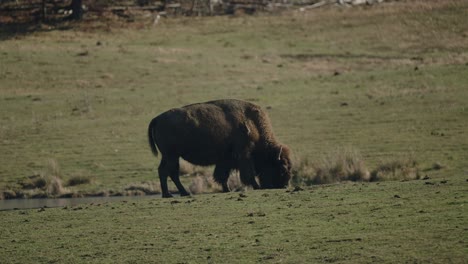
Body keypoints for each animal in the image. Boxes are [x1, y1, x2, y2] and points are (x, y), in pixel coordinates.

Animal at [147, 99, 292, 198]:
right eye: (282, 167)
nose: (284, 185)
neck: (252, 123)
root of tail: (157, 119)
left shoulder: (226, 160)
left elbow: (223, 175)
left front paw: (227, 189)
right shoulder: (243, 155)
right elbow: (247, 174)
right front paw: (256, 186)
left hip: (169, 156)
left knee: (165, 171)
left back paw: (178, 193)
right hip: (171, 155)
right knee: (169, 172)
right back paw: (173, 194)